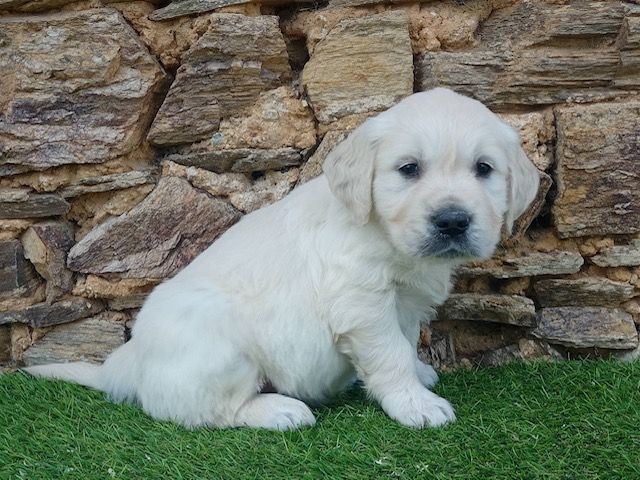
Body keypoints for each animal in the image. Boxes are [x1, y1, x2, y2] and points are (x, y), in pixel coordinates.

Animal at [26, 89, 540, 432]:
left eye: (484, 169)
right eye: (409, 169)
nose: (453, 221)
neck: (383, 234)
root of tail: (129, 363)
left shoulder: (407, 303)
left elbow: (406, 341)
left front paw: (420, 374)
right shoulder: (362, 302)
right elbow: (390, 354)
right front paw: (416, 404)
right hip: (223, 344)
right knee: (204, 411)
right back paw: (279, 410)